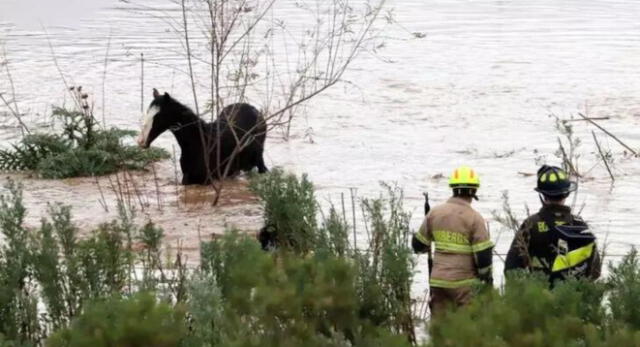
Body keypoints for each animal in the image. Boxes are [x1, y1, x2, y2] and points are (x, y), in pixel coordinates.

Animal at [139, 88, 268, 184]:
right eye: (148, 112)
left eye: (158, 117)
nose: (141, 141)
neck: (199, 142)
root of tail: (255, 110)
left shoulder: (206, 181)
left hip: (259, 158)